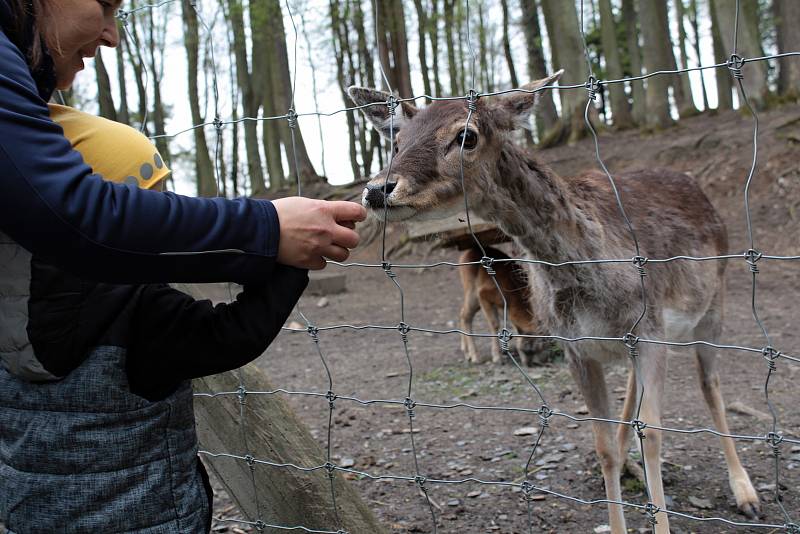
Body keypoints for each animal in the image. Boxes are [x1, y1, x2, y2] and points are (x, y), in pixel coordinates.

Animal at [348, 73, 756, 532]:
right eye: (396, 140)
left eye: (466, 135)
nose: (377, 189)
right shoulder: (578, 346)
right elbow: (602, 446)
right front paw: (618, 476)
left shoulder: (650, 329)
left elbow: (653, 432)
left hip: (713, 304)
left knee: (710, 383)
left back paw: (746, 493)